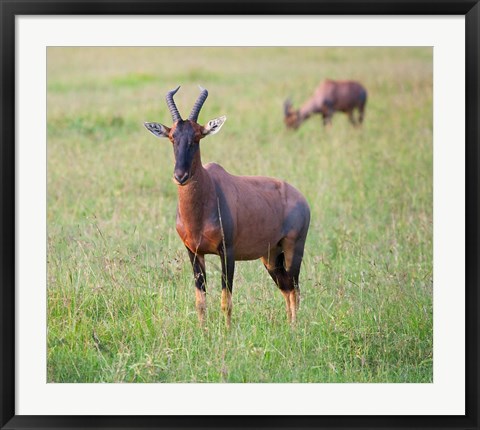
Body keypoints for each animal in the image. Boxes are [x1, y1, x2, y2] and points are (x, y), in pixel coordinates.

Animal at [144, 88, 312, 330]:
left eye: (197, 137)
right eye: (172, 137)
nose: (180, 176)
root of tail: (301, 198)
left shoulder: (228, 252)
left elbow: (226, 300)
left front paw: (226, 333)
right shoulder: (193, 252)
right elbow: (200, 301)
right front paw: (203, 333)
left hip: (293, 249)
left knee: (295, 289)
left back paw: (294, 329)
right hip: (271, 256)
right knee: (287, 287)